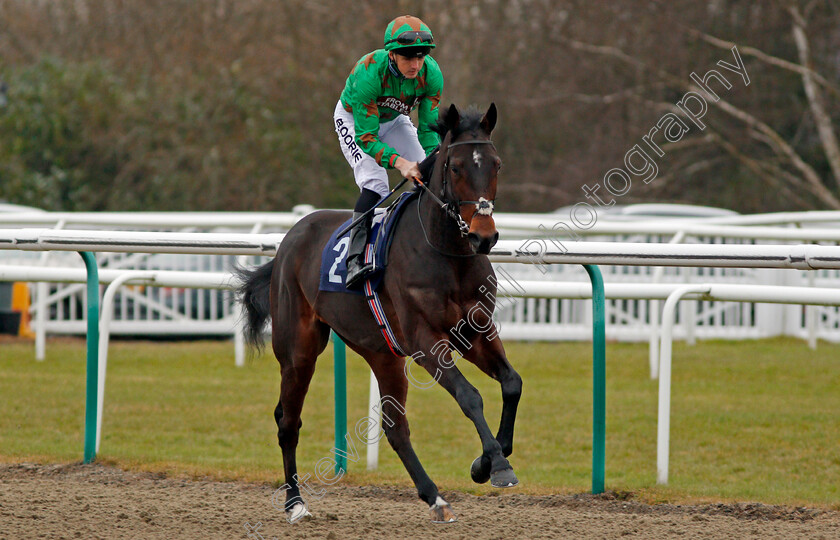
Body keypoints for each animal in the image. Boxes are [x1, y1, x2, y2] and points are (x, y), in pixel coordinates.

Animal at [236, 102, 520, 524]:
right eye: (455, 167)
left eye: (496, 164)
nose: (483, 236)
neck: (447, 255)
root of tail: (290, 239)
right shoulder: (425, 341)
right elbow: (469, 397)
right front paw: (497, 465)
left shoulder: (476, 333)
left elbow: (512, 383)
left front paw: (484, 463)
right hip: (298, 350)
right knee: (288, 421)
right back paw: (296, 503)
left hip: (382, 353)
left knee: (395, 427)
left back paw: (435, 497)